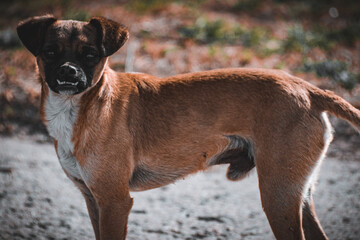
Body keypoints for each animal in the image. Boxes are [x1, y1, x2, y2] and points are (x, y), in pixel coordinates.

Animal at [15, 15, 358, 240]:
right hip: (297, 195)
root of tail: (310, 91)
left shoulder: (114, 203)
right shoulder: (93, 201)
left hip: (279, 197)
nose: (69, 72)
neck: (83, 107)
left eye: (90, 55)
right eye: (50, 52)